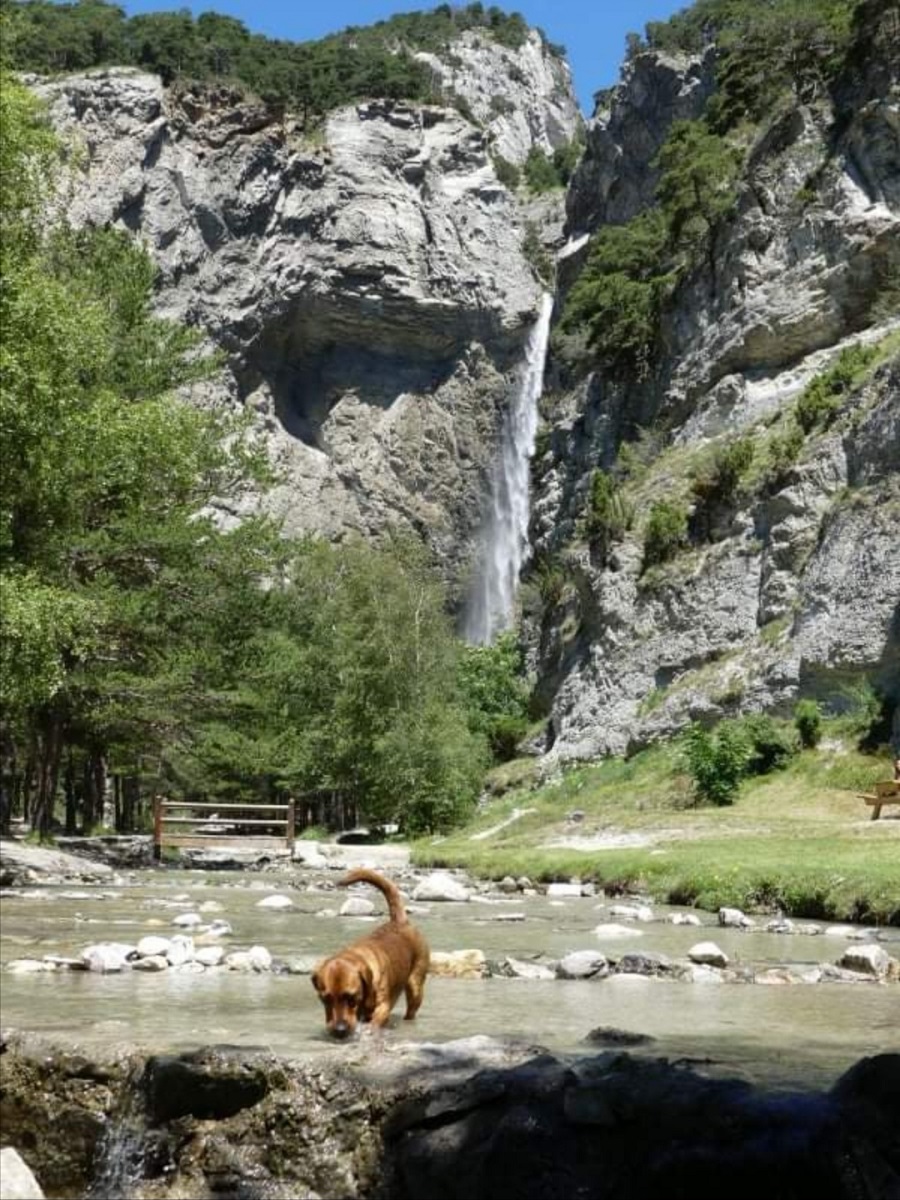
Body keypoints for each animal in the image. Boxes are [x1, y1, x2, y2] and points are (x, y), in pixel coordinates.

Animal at [312, 868, 432, 1036]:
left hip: (415, 986)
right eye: (325, 999)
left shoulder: (383, 1006)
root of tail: (400, 921)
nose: (340, 1030)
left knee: (412, 1008)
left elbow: (375, 1021)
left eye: (351, 997)